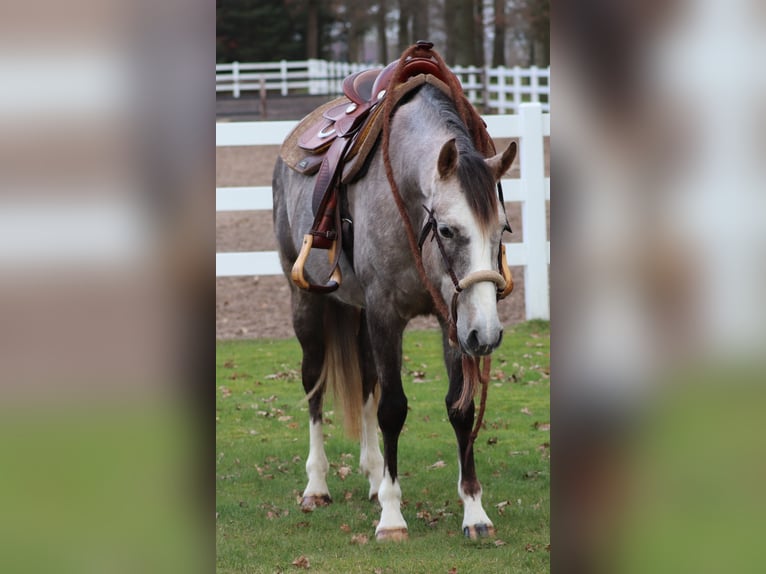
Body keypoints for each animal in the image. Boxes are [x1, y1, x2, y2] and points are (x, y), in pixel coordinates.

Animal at [272, 47, 520, 544]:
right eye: (447, 229)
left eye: (502, 229)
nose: (486, 335)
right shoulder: (386, 313)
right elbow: (392, 408)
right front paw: (391, 516)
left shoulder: (452, 318)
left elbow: (459, 409)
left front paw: (474, 511)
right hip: (306, 302)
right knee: (314, 383)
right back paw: (317, 485)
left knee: (366, 380)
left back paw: (371, 475)